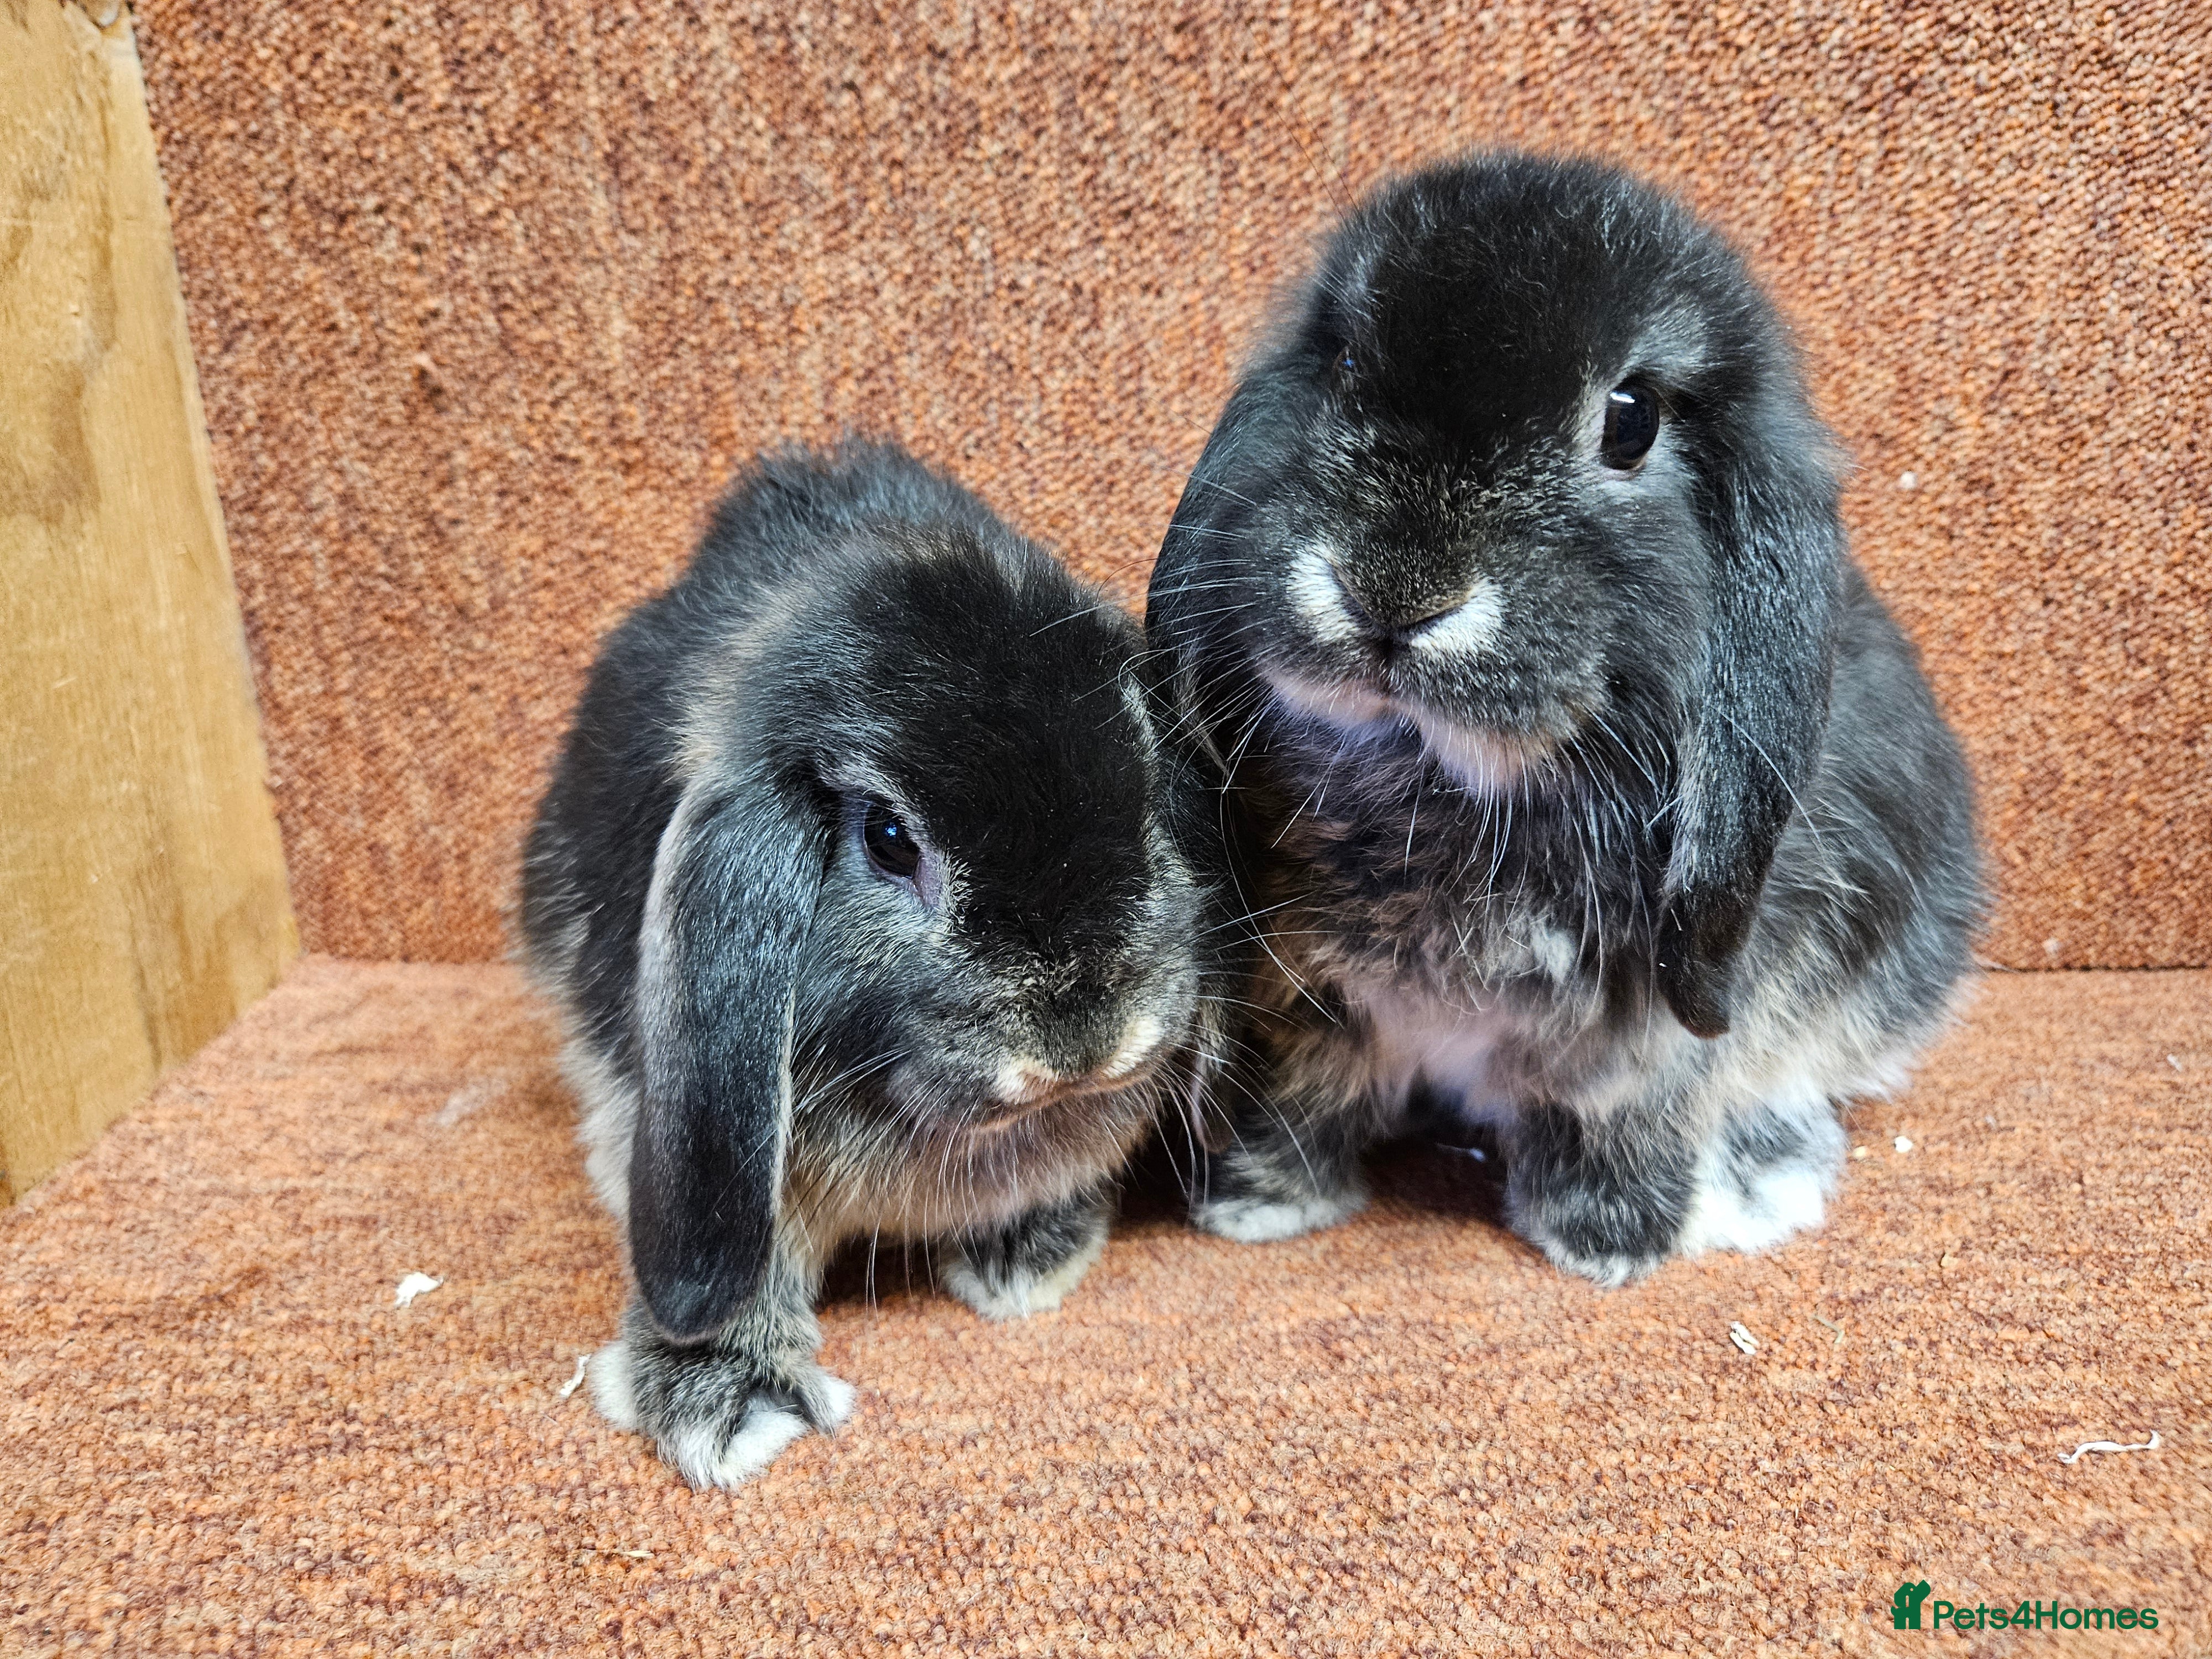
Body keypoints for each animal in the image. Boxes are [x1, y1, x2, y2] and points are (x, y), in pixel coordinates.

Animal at [1146, 152, 1984, 1287]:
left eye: (1630, 419)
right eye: (1348, 361)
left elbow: (1617, 1119)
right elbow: (1304, 1096)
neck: (1433, 780)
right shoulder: (1303, 992)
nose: (1393, 594)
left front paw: (1609, 1244)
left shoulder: (1641, 1035)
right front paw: (1259, 1204)